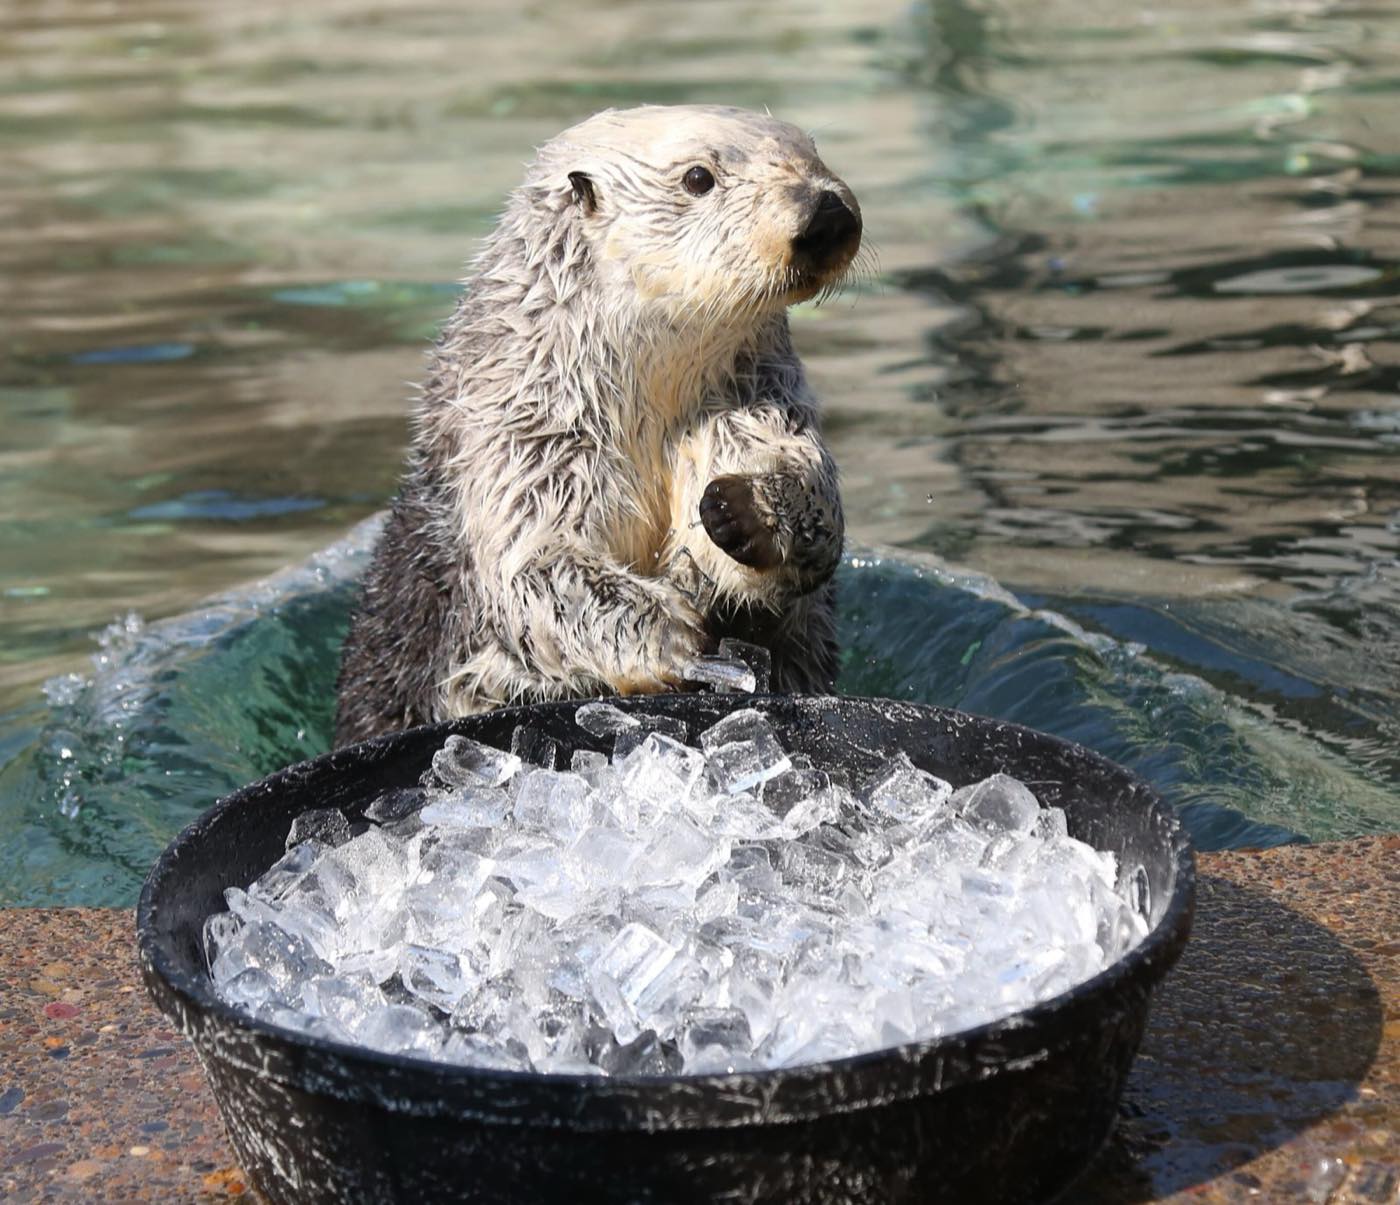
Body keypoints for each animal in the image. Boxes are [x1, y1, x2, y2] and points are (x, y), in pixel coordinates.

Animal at [335, 105, 861, 746]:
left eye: (812, 150)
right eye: (698, 177)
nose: (827, 213)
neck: (654, 398)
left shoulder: (754, 399)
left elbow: (795, 465)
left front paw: (752, 509)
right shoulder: (524, 437)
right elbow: (534, 565)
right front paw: (675, 636)